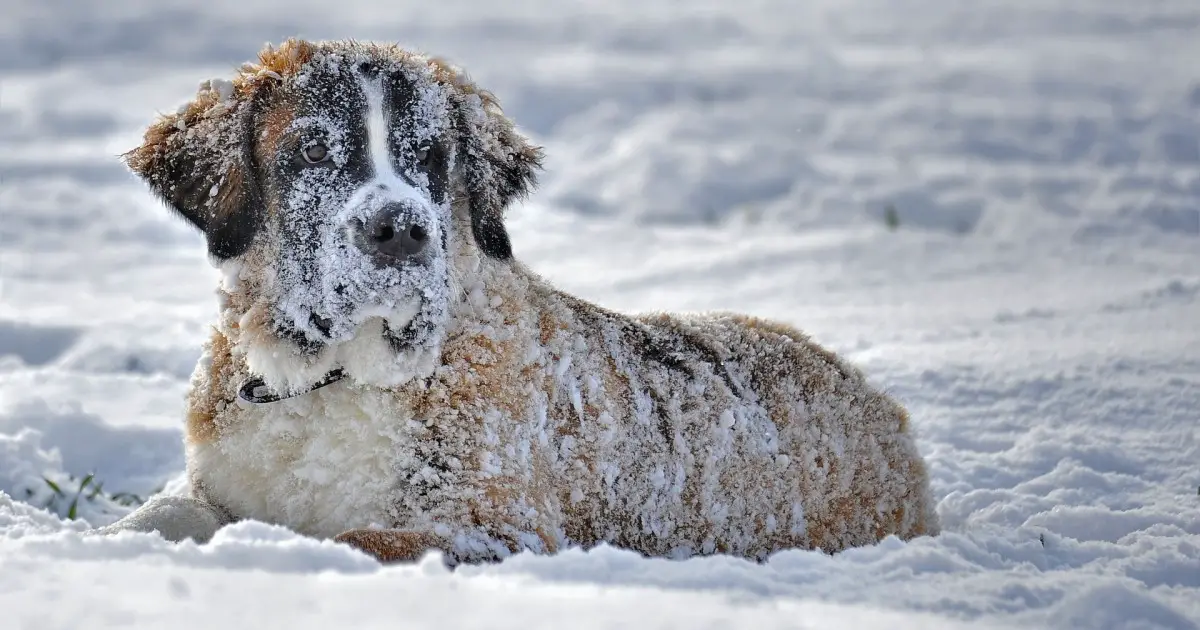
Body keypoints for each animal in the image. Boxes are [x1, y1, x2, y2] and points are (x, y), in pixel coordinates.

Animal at [98, 38, 936, 559]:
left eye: (434, 157)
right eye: (310, 151)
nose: (400, 231)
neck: (331, 378)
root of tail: (875, 401)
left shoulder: (498, 528)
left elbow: (356, 538)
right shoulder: (216, 482)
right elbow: (159, 515)